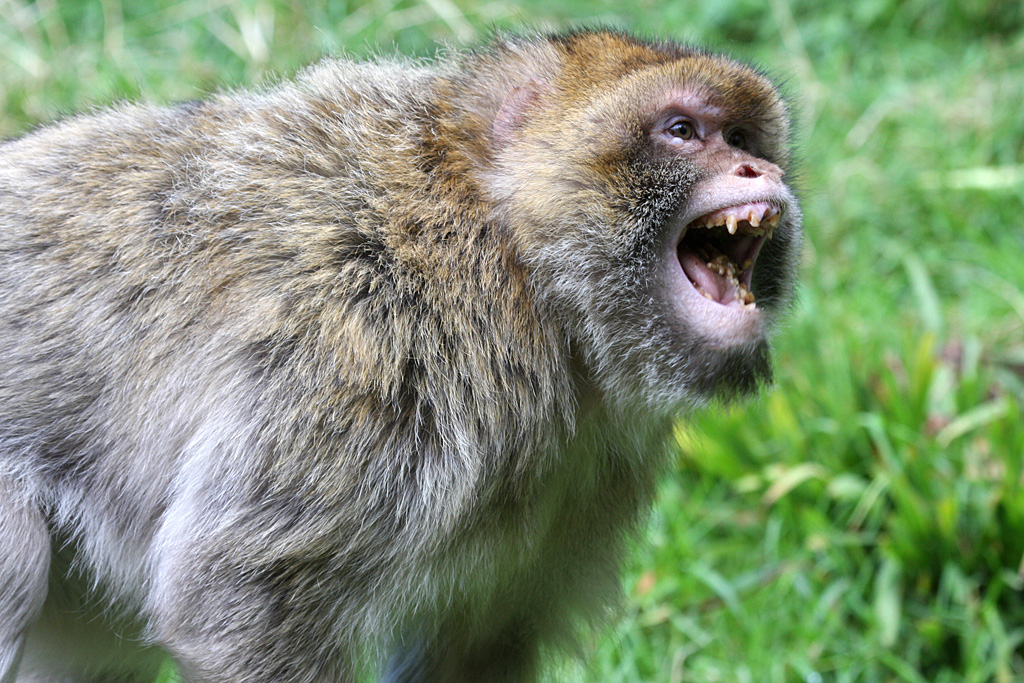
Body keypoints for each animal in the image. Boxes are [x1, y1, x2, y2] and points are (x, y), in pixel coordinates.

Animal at [0, 28, 801, 683]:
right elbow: (235, 596)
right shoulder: (372, 350)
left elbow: (476, 643)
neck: (518, 267)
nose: (758, 171)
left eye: (742, 136)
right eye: (682, 130)